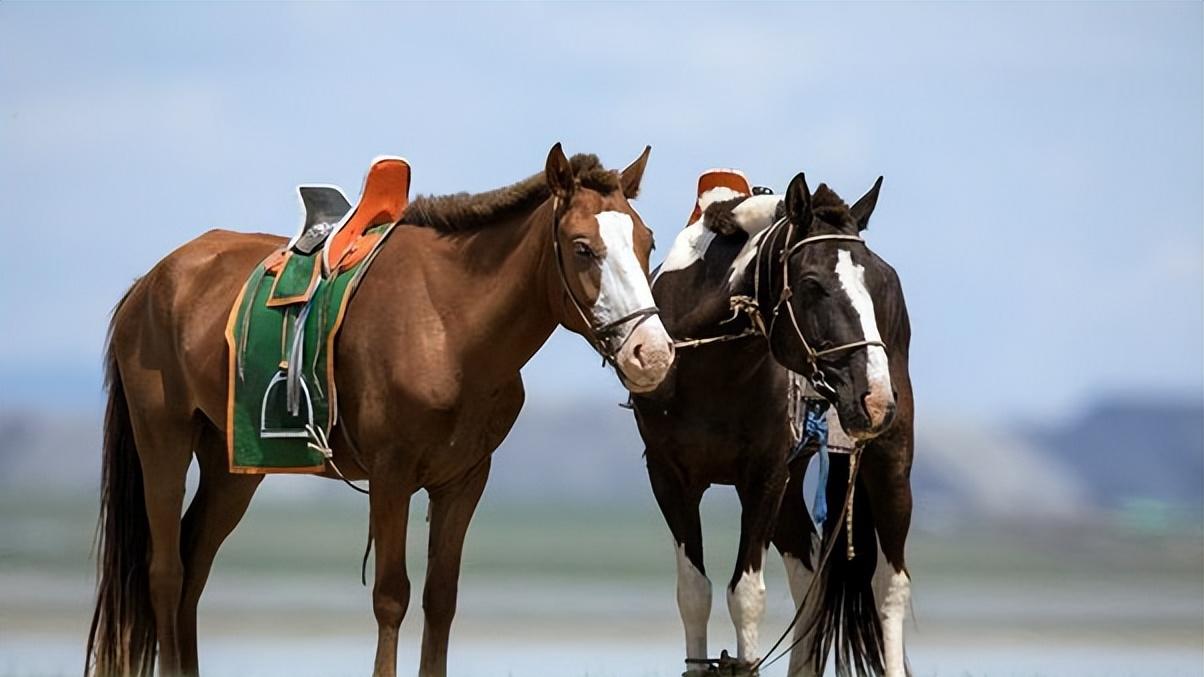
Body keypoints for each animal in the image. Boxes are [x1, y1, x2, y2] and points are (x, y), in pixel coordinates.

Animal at [87, 143, 674, 674]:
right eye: (582, 248)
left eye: (646, 242)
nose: (652, 353)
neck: (448, 325)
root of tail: (150, 283)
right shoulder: (392, 475)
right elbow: (392, 597)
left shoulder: (463, 480)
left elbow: (441, 598)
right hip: (163, 440)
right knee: (167, 573)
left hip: (234, 466)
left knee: (194, 568)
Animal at [630, 172, 910, 674]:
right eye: (813, 283)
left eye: (875, 282)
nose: (876, 398)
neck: (709, 368)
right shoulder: (669, 477)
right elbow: (694, 593)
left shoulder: (764, 475)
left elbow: (745, 595)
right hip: (792, 489)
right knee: (811, 578)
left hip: (889, 462)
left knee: (890, 586)